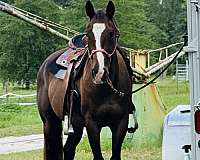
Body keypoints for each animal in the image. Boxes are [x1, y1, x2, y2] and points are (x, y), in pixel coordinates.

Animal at [37, 0, 135, 159]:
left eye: (111, 33)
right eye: (88, 34)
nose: (99, 72)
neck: (106, 88)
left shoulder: (121, 122)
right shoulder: (91, 123)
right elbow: (98, 156)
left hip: (75, 126)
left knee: (68, 149)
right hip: (50, 122)